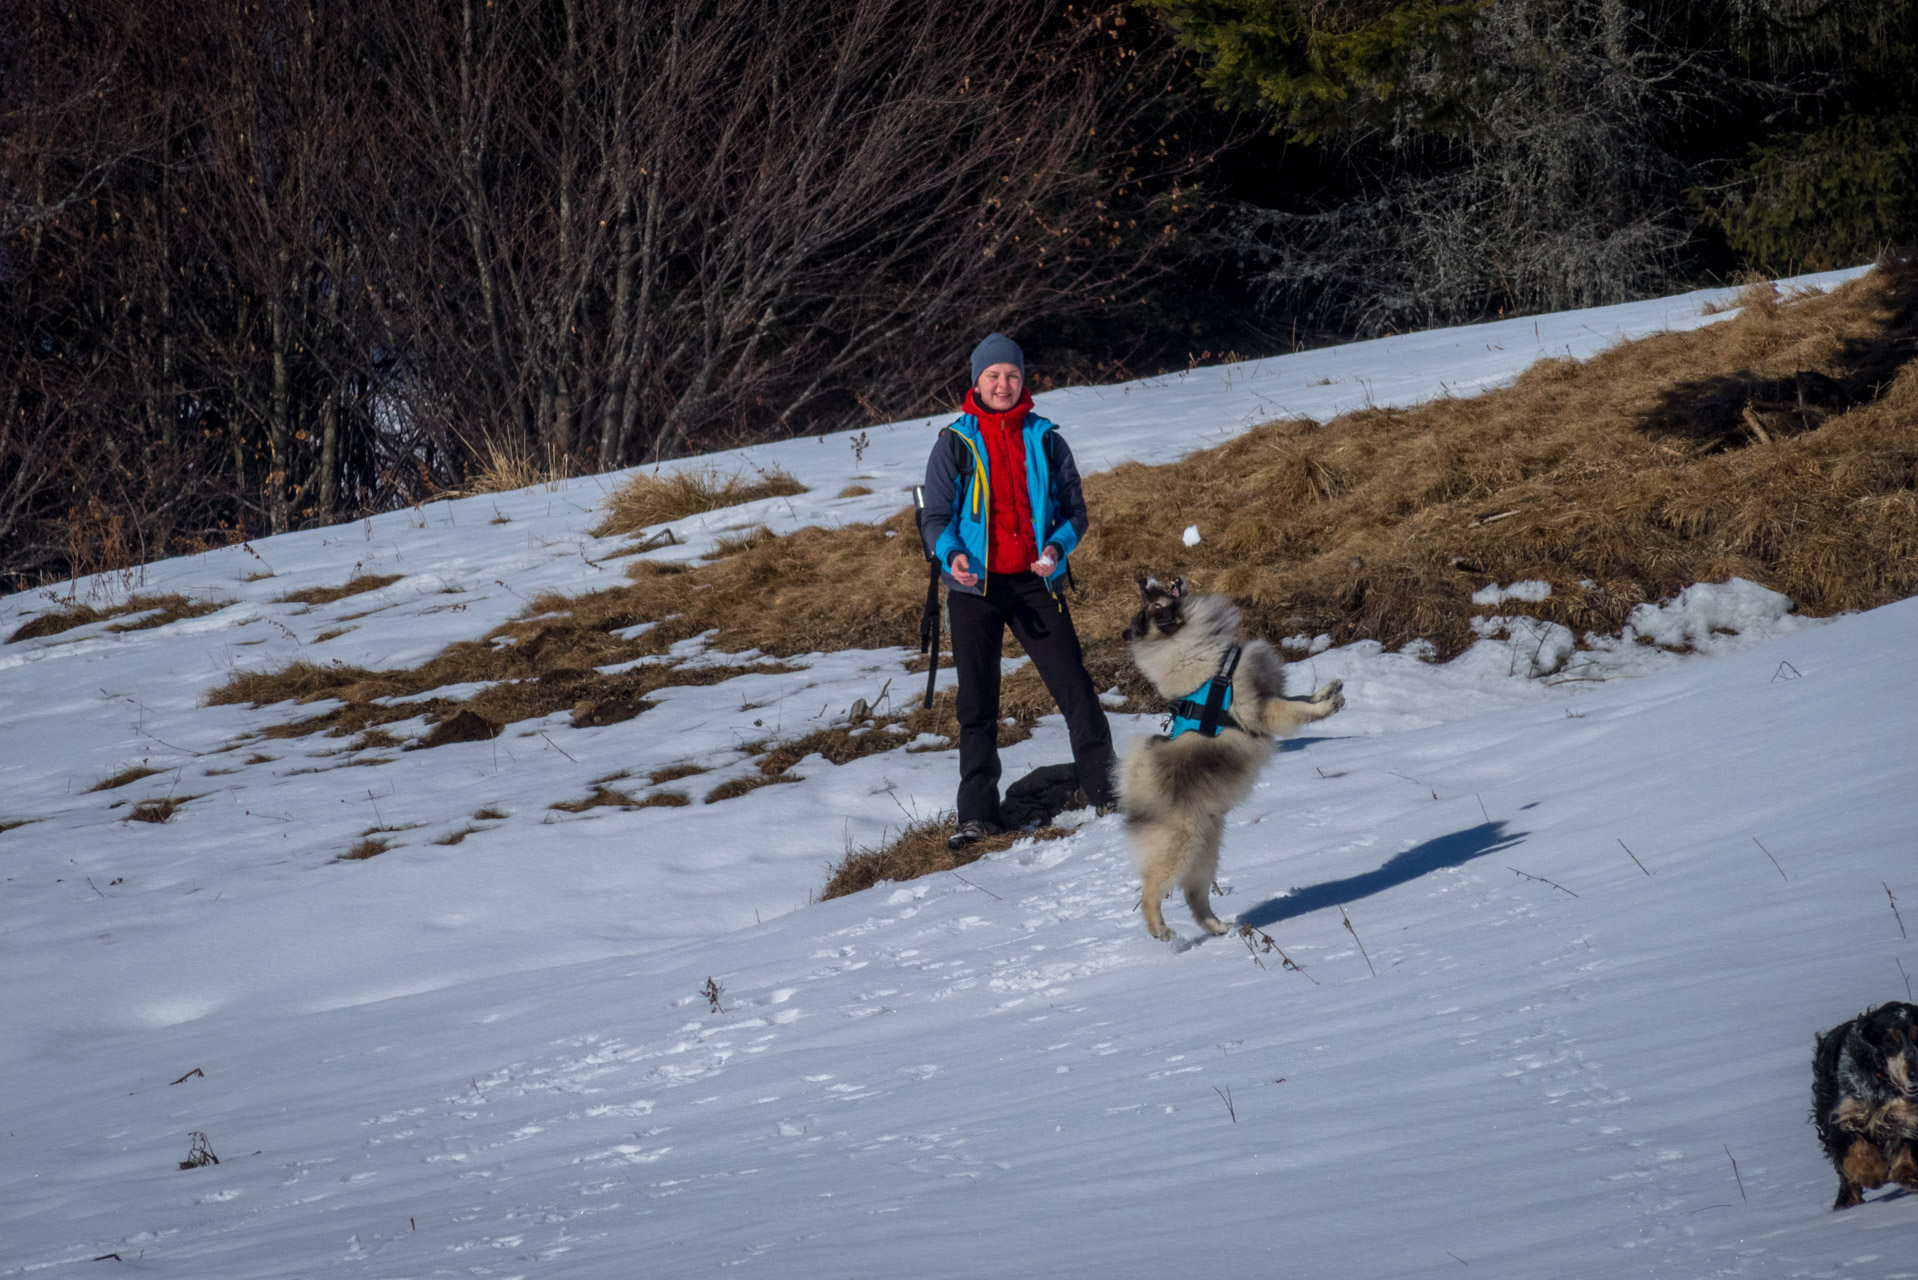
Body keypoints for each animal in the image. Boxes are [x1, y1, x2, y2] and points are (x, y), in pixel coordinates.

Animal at [1112, 579, 1350, 940]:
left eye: (1149, 601)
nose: (1141, 579)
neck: (1209, 659)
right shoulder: (1262, 709)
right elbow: (1295, 709)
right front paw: (1325, 706)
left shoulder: (1267, 692)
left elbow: (1299, 697)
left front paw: (1325, 692)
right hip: (1179, 848)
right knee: (1151, 891)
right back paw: (1161, 929)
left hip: (1207, 852)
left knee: (1193, 895)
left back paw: (1217, 927)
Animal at [1810, 997, 1918, 1212]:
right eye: (1890, 1041)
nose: (1914, 1074)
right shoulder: (1842, 1115)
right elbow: (1856, 1148)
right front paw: (1871, 1172)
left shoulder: (1907, 1114)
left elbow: (1906, 1144)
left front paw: (1908, 1174)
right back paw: (1846, 1201)